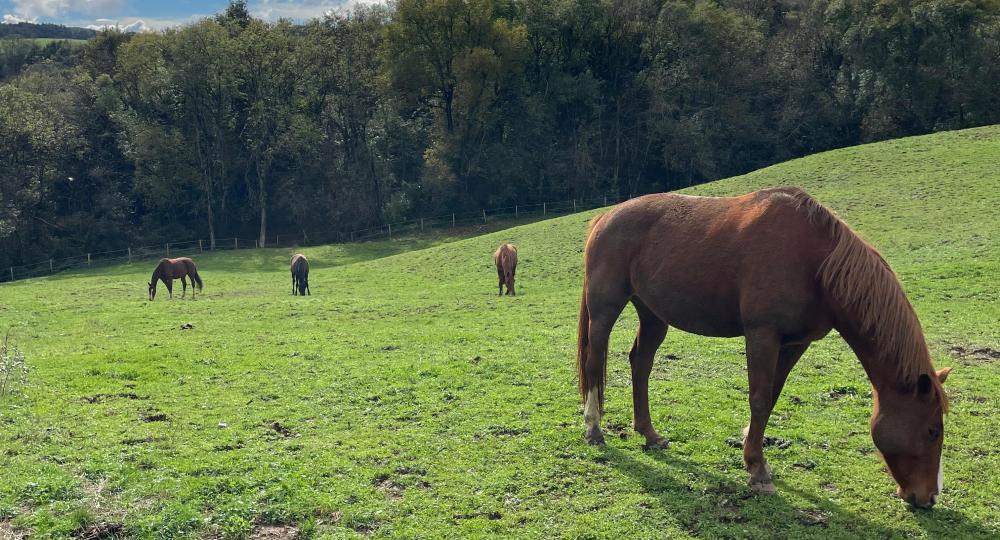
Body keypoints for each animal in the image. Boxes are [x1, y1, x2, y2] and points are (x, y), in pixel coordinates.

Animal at [576, 188, 948, 508]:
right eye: (932, 431)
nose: (929, 497)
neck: (815, 263)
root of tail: (605, 217)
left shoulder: (795, 343)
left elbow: (771, 397)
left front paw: (751, 450)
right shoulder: (762, 334)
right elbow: (757, 398)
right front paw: (757, 470)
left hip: (653, 314)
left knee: (641, 363)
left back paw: (649, 434)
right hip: (606, 307)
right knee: (595, 362)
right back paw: (594, 429)